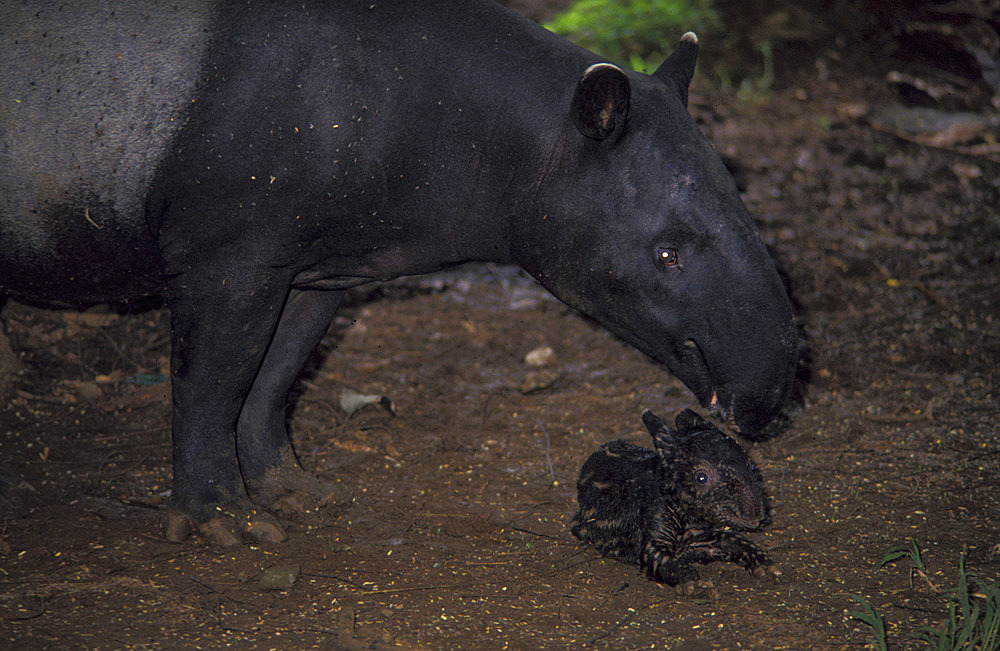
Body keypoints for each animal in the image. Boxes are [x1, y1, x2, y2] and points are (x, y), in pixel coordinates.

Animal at [572, 412, 780, 596]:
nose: (756, 515)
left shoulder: (702, 537)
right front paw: (697, 586)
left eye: (751, 466)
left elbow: (732, 539)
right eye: (701, 478)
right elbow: (662, 559)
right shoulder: (655, 520)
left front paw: (766, 565)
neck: (690, 519)